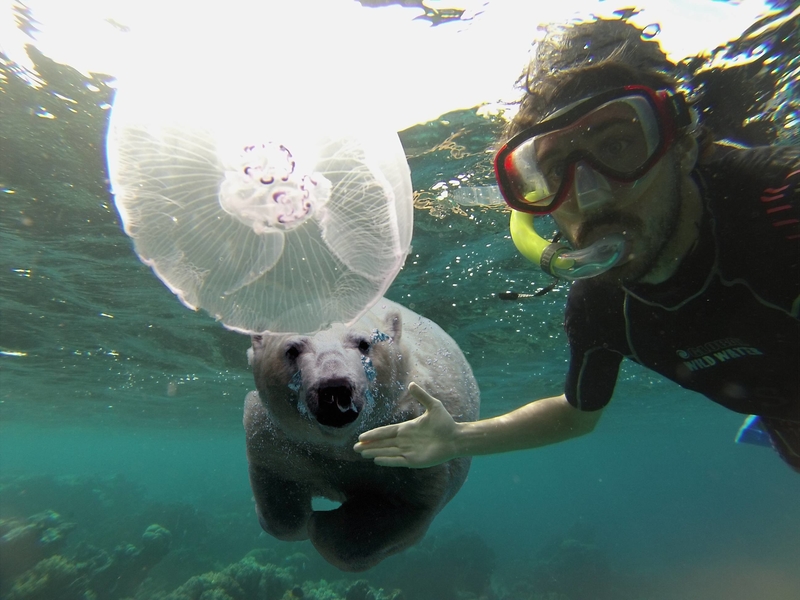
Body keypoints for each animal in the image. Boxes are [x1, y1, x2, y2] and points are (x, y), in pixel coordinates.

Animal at [244, 298, 478, 572]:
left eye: (364, 343)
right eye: (292, 349)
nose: (334, 388)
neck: (342, 444)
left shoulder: (413, 437)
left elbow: (402, 508)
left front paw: (323, 526)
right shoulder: (281, 438)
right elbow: (278, 492)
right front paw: (299, 520)